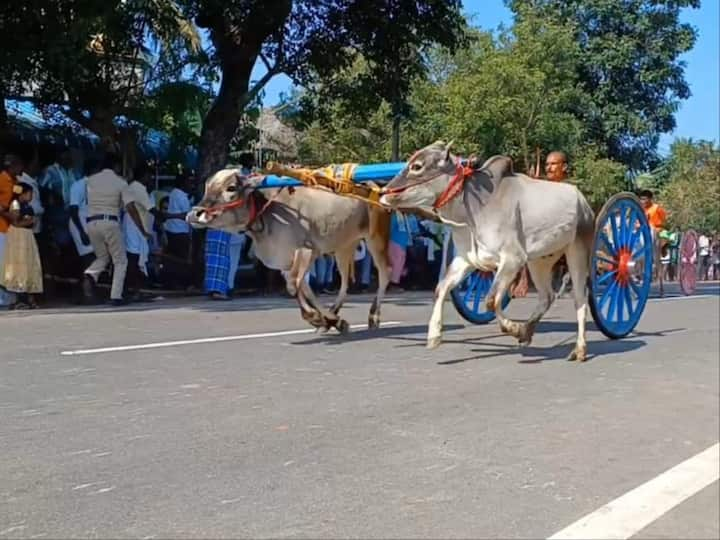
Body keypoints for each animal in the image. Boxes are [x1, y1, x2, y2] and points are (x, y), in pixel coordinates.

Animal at [186, 171, 388, 334]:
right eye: (207, 187)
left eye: (231, 187)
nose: (194, 214)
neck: (267, 211)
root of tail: (375, 185)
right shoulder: (285, 260)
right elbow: (302, 287)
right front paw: (331, 320)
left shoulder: (307, 250)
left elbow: (294, 284)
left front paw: (316, 317)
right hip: (344, 246)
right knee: (345, 282)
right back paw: (335, 313)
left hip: (375, 238)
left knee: (385, 272)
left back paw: (373, 316)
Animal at [376, 142, 596, 362]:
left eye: (417, 166)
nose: (384, 192)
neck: (473, 209)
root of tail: (583, 202)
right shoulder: (466, 259)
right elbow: (441, 288)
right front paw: (434, 335)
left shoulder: (513, 259)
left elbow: (491, 300)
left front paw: (513, 327)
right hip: (539, 261)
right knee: (547, 296)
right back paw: (527, 332)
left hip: (577, 251)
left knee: (580, 300)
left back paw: (579, 349)